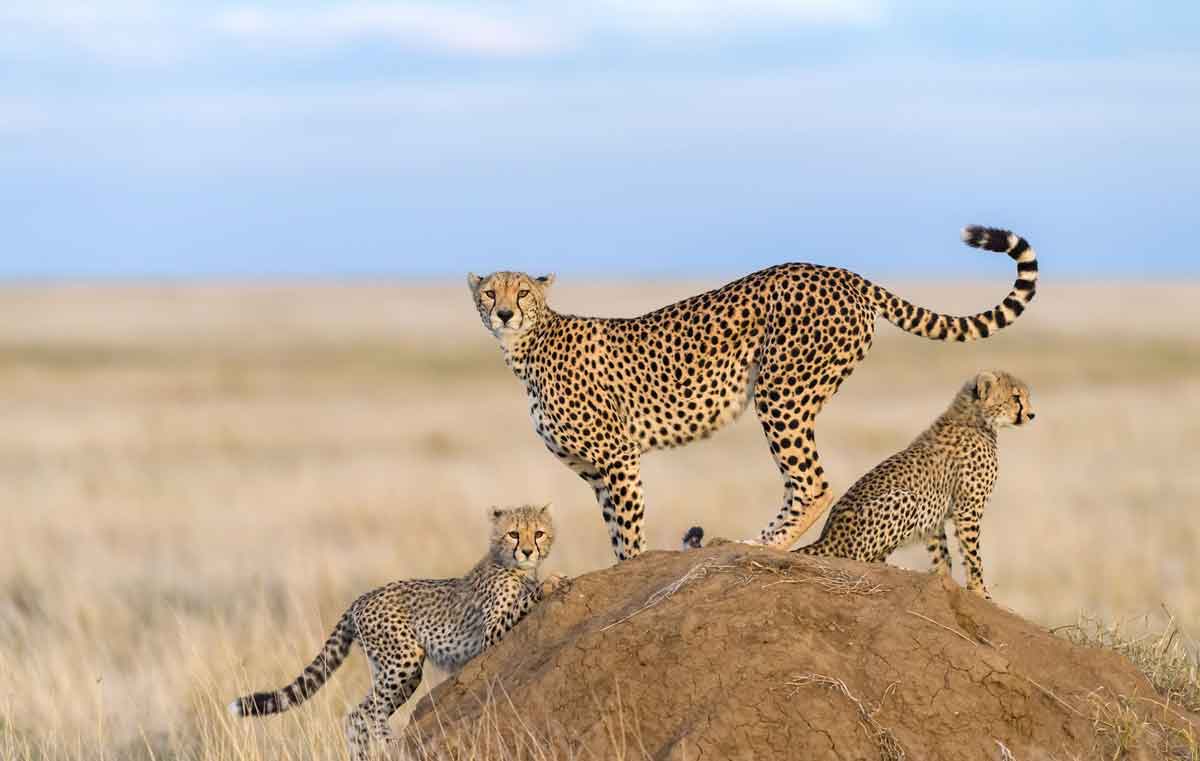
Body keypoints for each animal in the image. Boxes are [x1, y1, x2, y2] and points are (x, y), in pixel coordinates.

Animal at [228, 504, 565, 761]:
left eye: (538, 533)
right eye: (513, 533)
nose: (527, 551)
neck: (513, 567)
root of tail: (361, 598)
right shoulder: (490, 633)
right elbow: (522, 604)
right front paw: (551, 583)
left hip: (395, 670)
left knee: (357, 715)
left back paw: (362, 755)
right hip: (403, 660)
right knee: (368, 712)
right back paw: (391, 745)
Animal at [469, 225, 1038, 561]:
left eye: (523, 292)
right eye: (489, 293)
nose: (504, 313)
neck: (527, 345)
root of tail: (837, 271)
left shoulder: (618, 456)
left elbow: (629, 532)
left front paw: (633, 565)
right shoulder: (595, 471)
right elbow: (614, 529)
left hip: (781, 391)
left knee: (813, 483)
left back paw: (768, 545)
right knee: (801, 482)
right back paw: (758, 542)